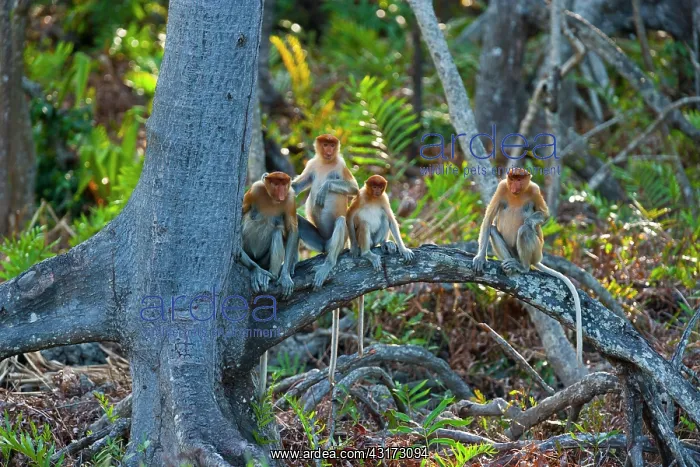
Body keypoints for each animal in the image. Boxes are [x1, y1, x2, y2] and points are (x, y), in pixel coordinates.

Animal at [239, 171, 299, 399]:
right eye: (274, 182)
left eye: (284, 183)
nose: (280, 191)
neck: (272, 199)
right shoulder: (254, 190)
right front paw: (256, 273)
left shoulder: (290, 199)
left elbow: (291, 229)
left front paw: (286, 278)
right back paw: (257, 271)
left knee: (276, 231)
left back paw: (273, 275)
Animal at [292, 134, 359, 385]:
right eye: (325, 144)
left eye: (333, 144)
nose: (329, 149)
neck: (326, 163)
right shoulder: (312, 164)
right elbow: (300, 184)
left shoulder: (341, 166)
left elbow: (354, 188)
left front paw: (324, 189)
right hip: (318, 240)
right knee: (297, 221)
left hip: (336, 239)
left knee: (340, 221)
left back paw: (327, 264)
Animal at [346, 175, 414, 356]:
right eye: (374, 186)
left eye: (380, 187)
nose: (377, 191)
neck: (372, 198)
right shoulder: (361, 197)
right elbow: (349, 216)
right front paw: (353, 249)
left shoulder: (384, 199)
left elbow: (391, 219)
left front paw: (404, 249)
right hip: (365, 239)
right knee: (363, 224)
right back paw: (366, 253)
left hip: (375, 238)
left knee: (384, 219)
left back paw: (385, 244)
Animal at [472, 167, 583, 366]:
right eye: (513, 178)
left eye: (520, 179)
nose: (515, 185)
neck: (517, 195)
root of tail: (536, 259)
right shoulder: (502, 187)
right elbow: (488, 219)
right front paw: (479, 258)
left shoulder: (534, 189)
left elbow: (544, 214)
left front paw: (531, 221)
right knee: (492, 229)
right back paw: (509, 265)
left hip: (536, 250)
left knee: (524, 231)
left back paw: (521, 266)